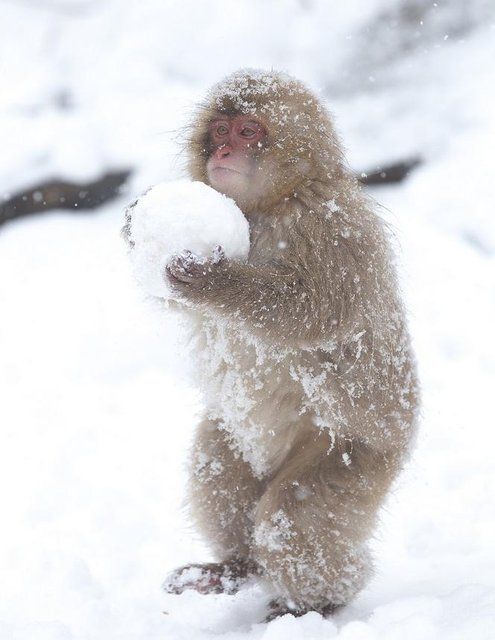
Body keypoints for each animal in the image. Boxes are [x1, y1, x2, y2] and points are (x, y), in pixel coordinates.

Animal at [165, 71, 420, 620]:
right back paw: (236, 566)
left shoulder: (331, 230)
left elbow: (313, 313)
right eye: (219, 130)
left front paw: (214, 282)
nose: (222, 152)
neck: (271, 204)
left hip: (355, 457)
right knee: (218, 470)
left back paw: (315, 602)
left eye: (247, 132)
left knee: (295, 518)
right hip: (236, 432)